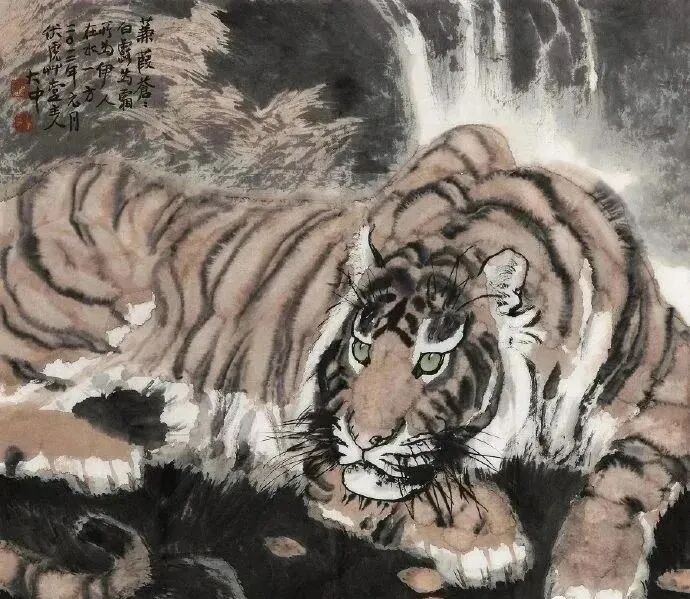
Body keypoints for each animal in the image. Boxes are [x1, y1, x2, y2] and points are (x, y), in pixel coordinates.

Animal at [0, 124, 687, 599]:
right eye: (359, 350)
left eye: (431, 362)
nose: (360, 439)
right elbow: (424, 489)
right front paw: (490, 541)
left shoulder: (671, 379)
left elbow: (623, 480)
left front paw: (593, 576)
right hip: (79, 308)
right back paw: (100, 455)